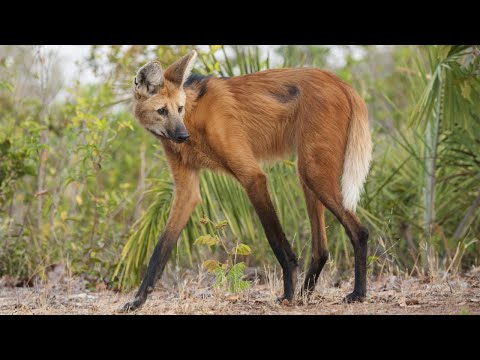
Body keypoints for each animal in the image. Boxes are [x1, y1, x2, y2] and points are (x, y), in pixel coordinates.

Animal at [122, 50, 374, 312]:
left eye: (179, 109)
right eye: (162, 111)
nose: (182, 136)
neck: (194, 118)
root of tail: (342, 83)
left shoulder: (253, 177)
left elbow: (276, 240)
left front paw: (287, 294)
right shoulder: (186, 190)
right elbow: (161, 248)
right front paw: (138, 300)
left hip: (314, 173)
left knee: (360, 231)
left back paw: (357, 293)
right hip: (307, 174)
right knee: (321, 249)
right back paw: (306, 294)